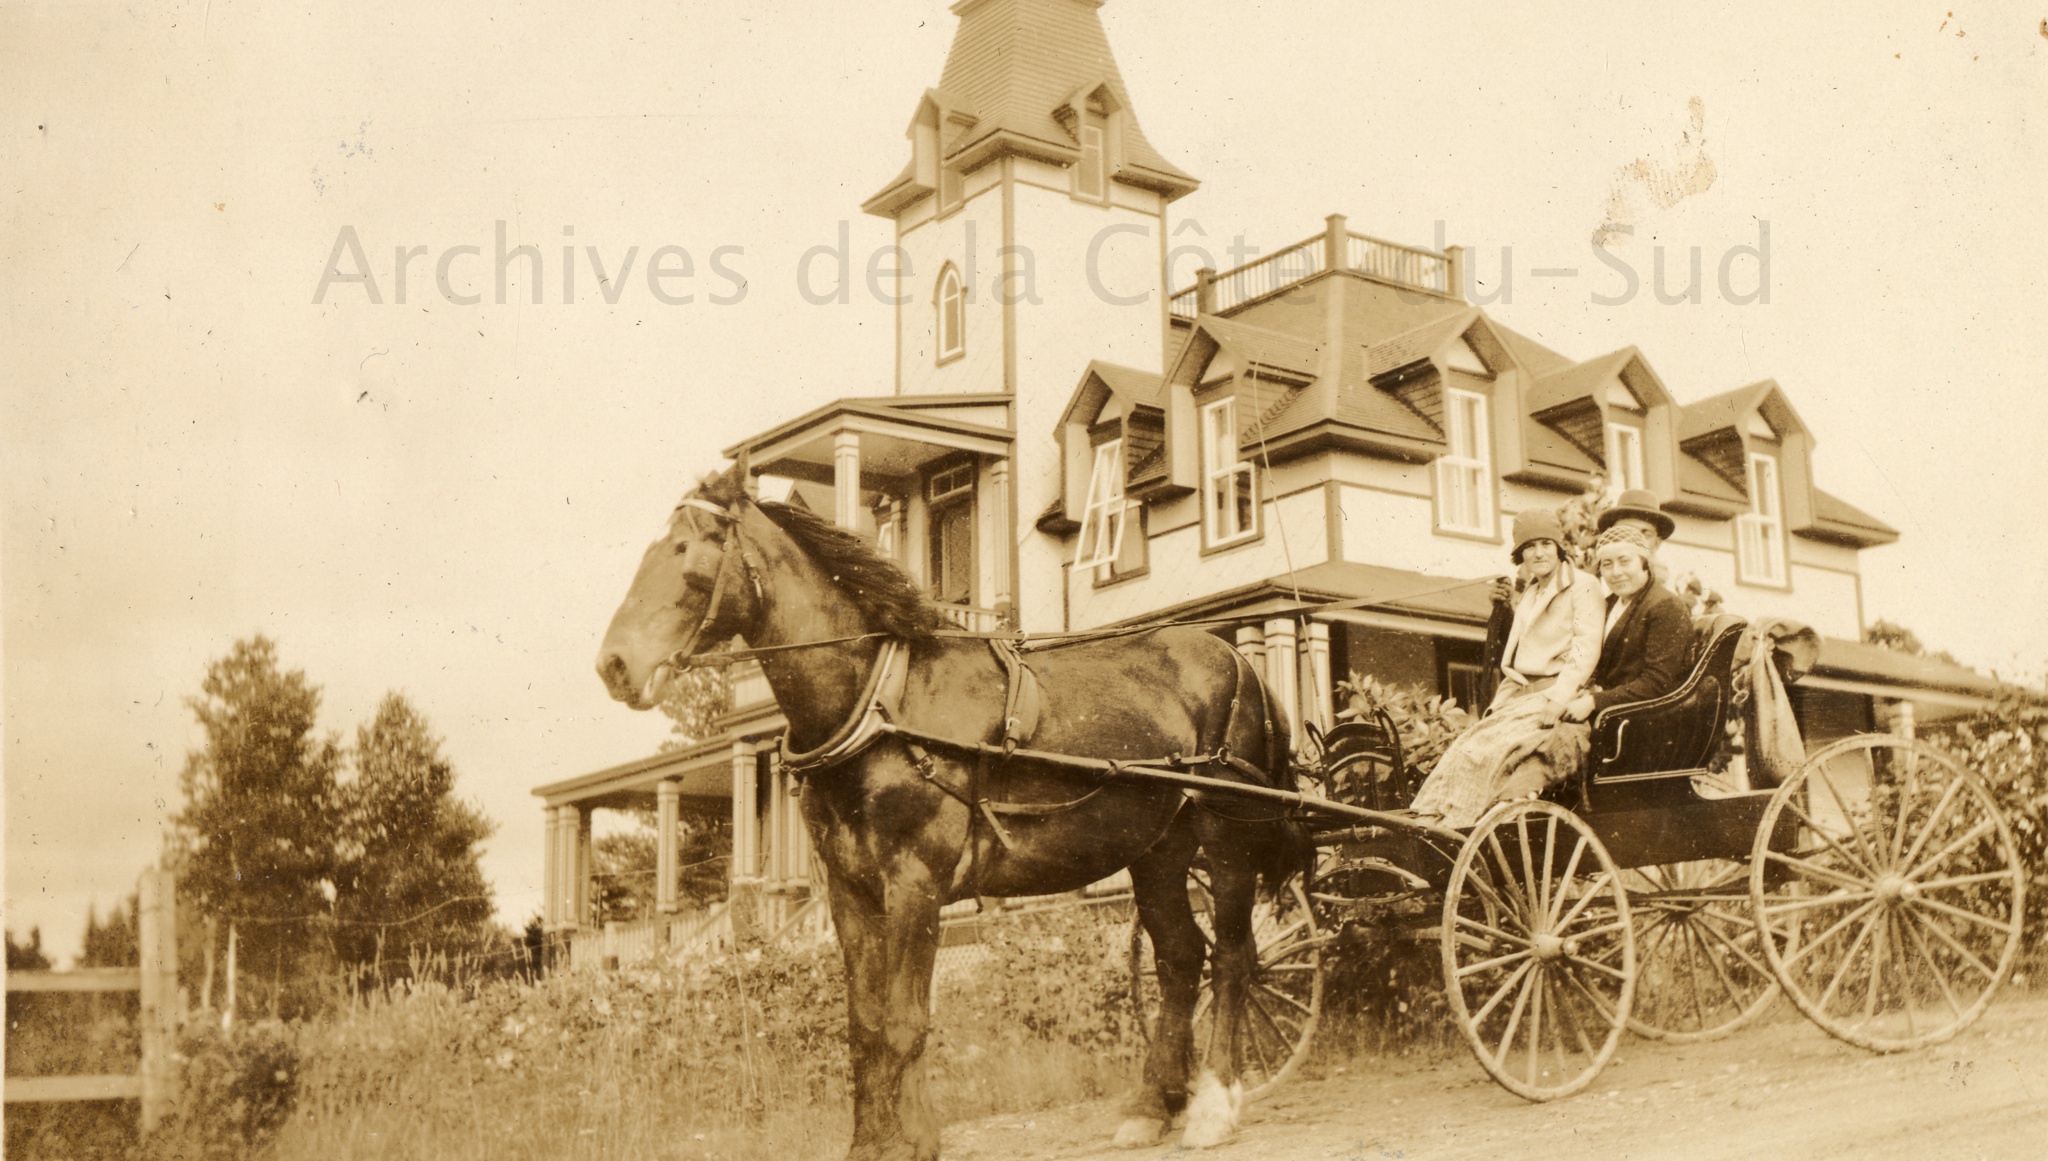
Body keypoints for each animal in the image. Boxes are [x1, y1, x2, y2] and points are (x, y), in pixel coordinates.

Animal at [597, 458, 1309, 1161]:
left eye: (687, 549)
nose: (613, 665)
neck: (881, 703)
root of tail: (1238, 658)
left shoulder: (916, 881)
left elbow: (905, 1021)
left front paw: (914, 1141)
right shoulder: (850, 892)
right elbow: (865, 1024)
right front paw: (869, 1144)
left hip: (1228, 838)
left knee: (1234, 958)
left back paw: (1213, 1105)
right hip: (1156, 850)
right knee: (1181, 960)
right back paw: (1151, 1107)